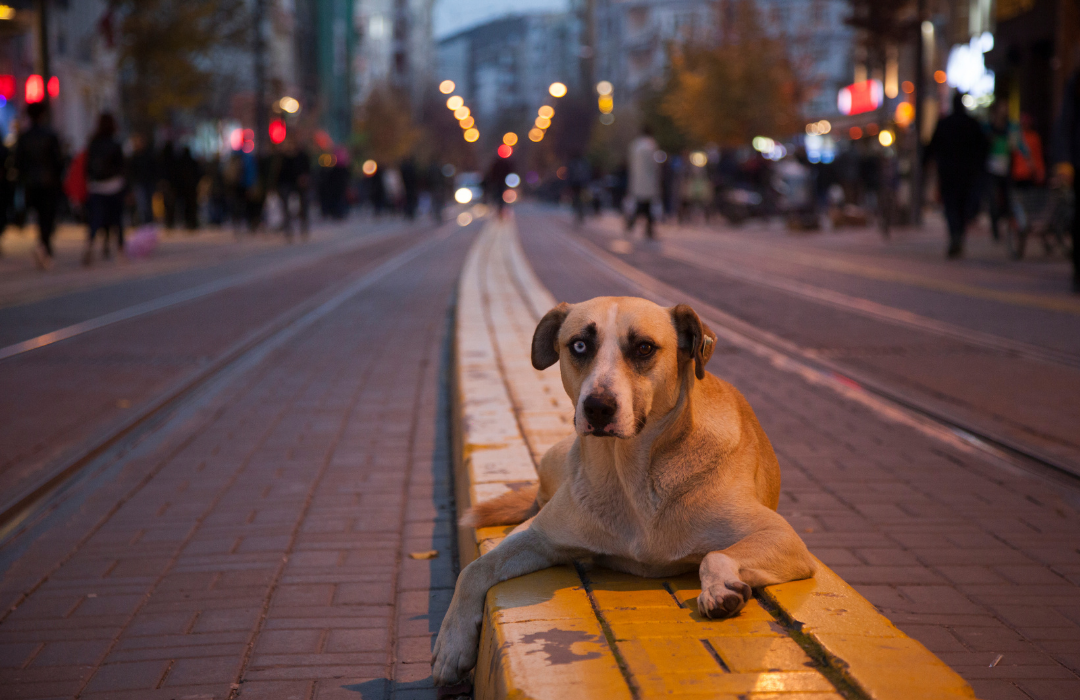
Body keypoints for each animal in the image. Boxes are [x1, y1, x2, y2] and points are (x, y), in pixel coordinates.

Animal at [434, 293, 812, 682]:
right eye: (579, 345)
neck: (630, 475)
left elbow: (715, 555)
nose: (598, 407)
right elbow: (473, 569)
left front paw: (718, 588)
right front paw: (452, 645)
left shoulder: (784, 537)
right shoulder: (540, 538)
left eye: (644, 348)